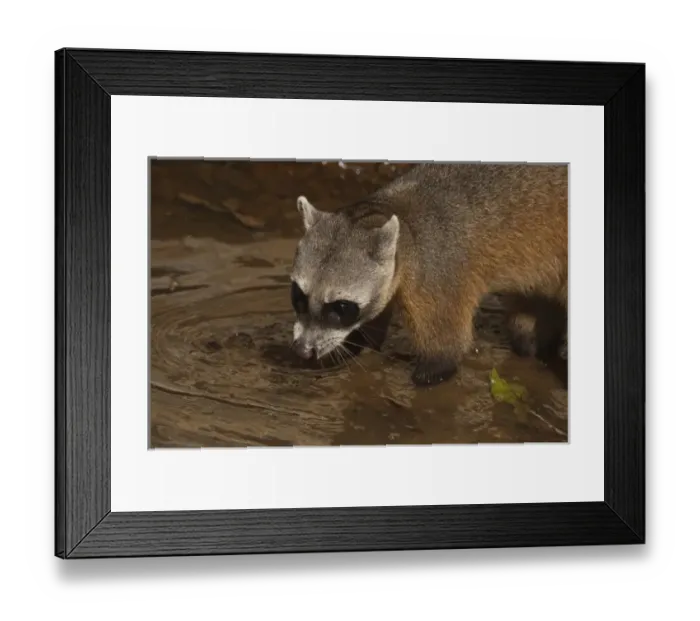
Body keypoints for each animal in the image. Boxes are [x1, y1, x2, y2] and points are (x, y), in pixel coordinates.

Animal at [289, 163, 568, 387]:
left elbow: (445, 352)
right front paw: (356, 345)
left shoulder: (437, 274)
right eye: (298, 296)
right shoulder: (390, 281)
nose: (302, 351)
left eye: (341, 307)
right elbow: (375, 319)